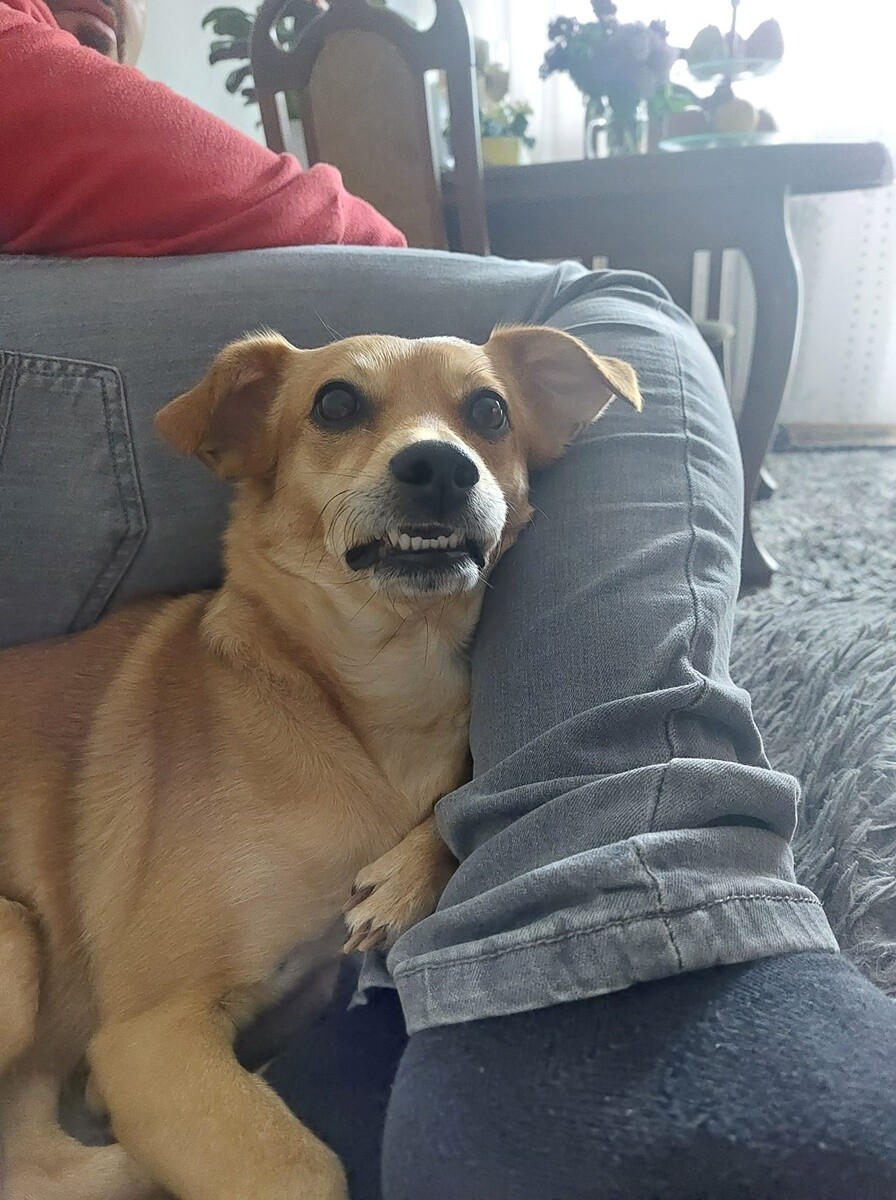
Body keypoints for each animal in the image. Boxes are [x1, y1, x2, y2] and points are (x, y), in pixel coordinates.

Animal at [0, 325, 640, 1200]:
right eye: (334, 404)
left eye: (490, 411)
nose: (440, 465)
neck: (376, 690)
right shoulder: (150, 1035)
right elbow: (297, 1165)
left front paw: (406, 877)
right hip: (15, 943)